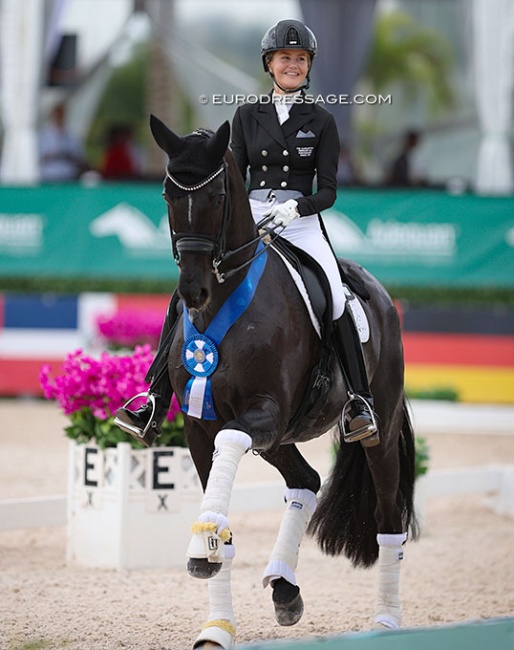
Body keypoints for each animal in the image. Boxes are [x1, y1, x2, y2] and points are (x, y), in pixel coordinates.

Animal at [147, 114, 416, 644]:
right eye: (168, 194)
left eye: (217, 196)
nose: (192, 291)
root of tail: (375, 289)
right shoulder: (199, 425)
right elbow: (225, 526)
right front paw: (216, 623)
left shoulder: (263, 412)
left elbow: (231, 444)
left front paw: (204, 541)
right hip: (279, 439)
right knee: (306, 481)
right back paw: (285, 588)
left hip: (377, 427)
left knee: (387, 517)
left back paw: (387, 620)